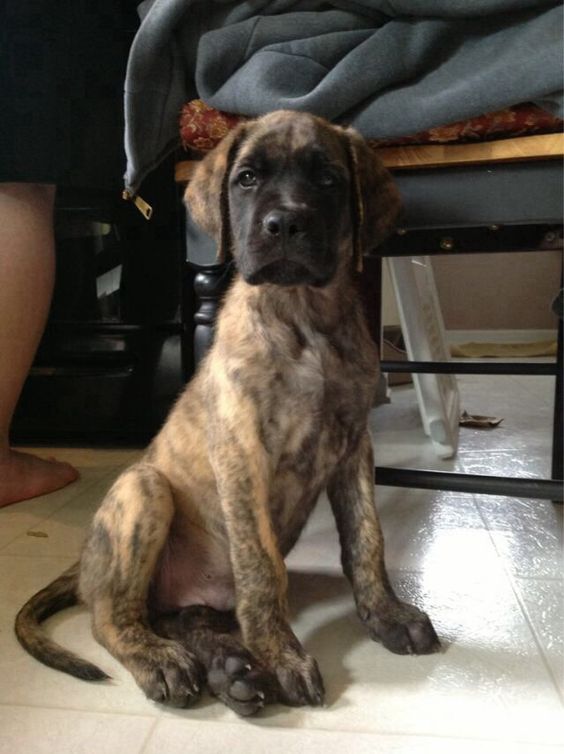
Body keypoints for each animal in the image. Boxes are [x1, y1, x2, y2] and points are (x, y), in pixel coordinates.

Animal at [15, 110, 440, 712]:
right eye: (246, 179)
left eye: (329, 179)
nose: (284, 224)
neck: (302, 317)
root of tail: (84, 564)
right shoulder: (244, 453)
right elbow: (263, 569)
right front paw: (282, 655)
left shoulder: (354, 446)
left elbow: (366, 539)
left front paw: (385, 615)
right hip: (144, 489)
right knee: (111, 618)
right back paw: (167, 661)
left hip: (186, 592)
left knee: (187, 618)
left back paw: (231, 669)